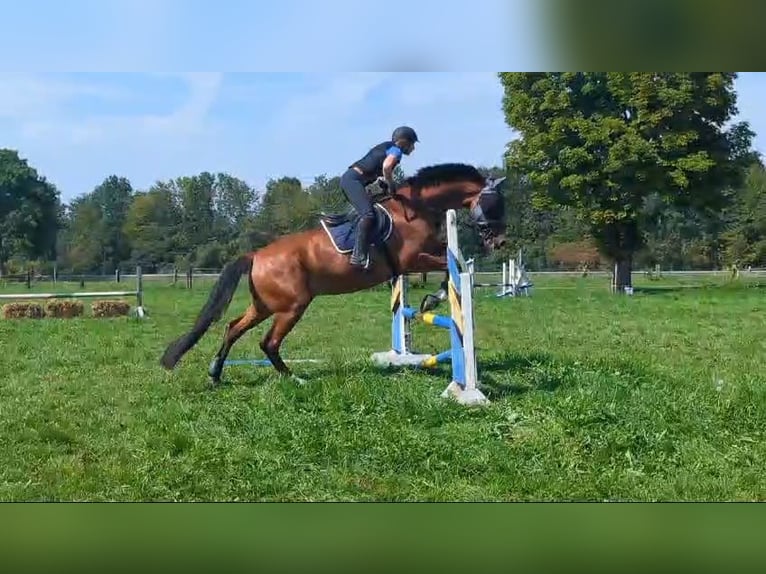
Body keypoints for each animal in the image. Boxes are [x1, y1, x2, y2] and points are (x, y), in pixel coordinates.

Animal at [160, 162, 510, 388]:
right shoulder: (414, 258)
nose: (501, 242)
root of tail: (256, 255)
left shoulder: (417, 259)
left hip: (265, 305)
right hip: (292, 306)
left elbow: (453, 268)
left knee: (233, 329)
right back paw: (295, 379)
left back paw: (216, 374)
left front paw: (429, 301)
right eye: (496, 204)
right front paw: (430, 301)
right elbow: (452, 268)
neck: (416, 209)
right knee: (268, 342)